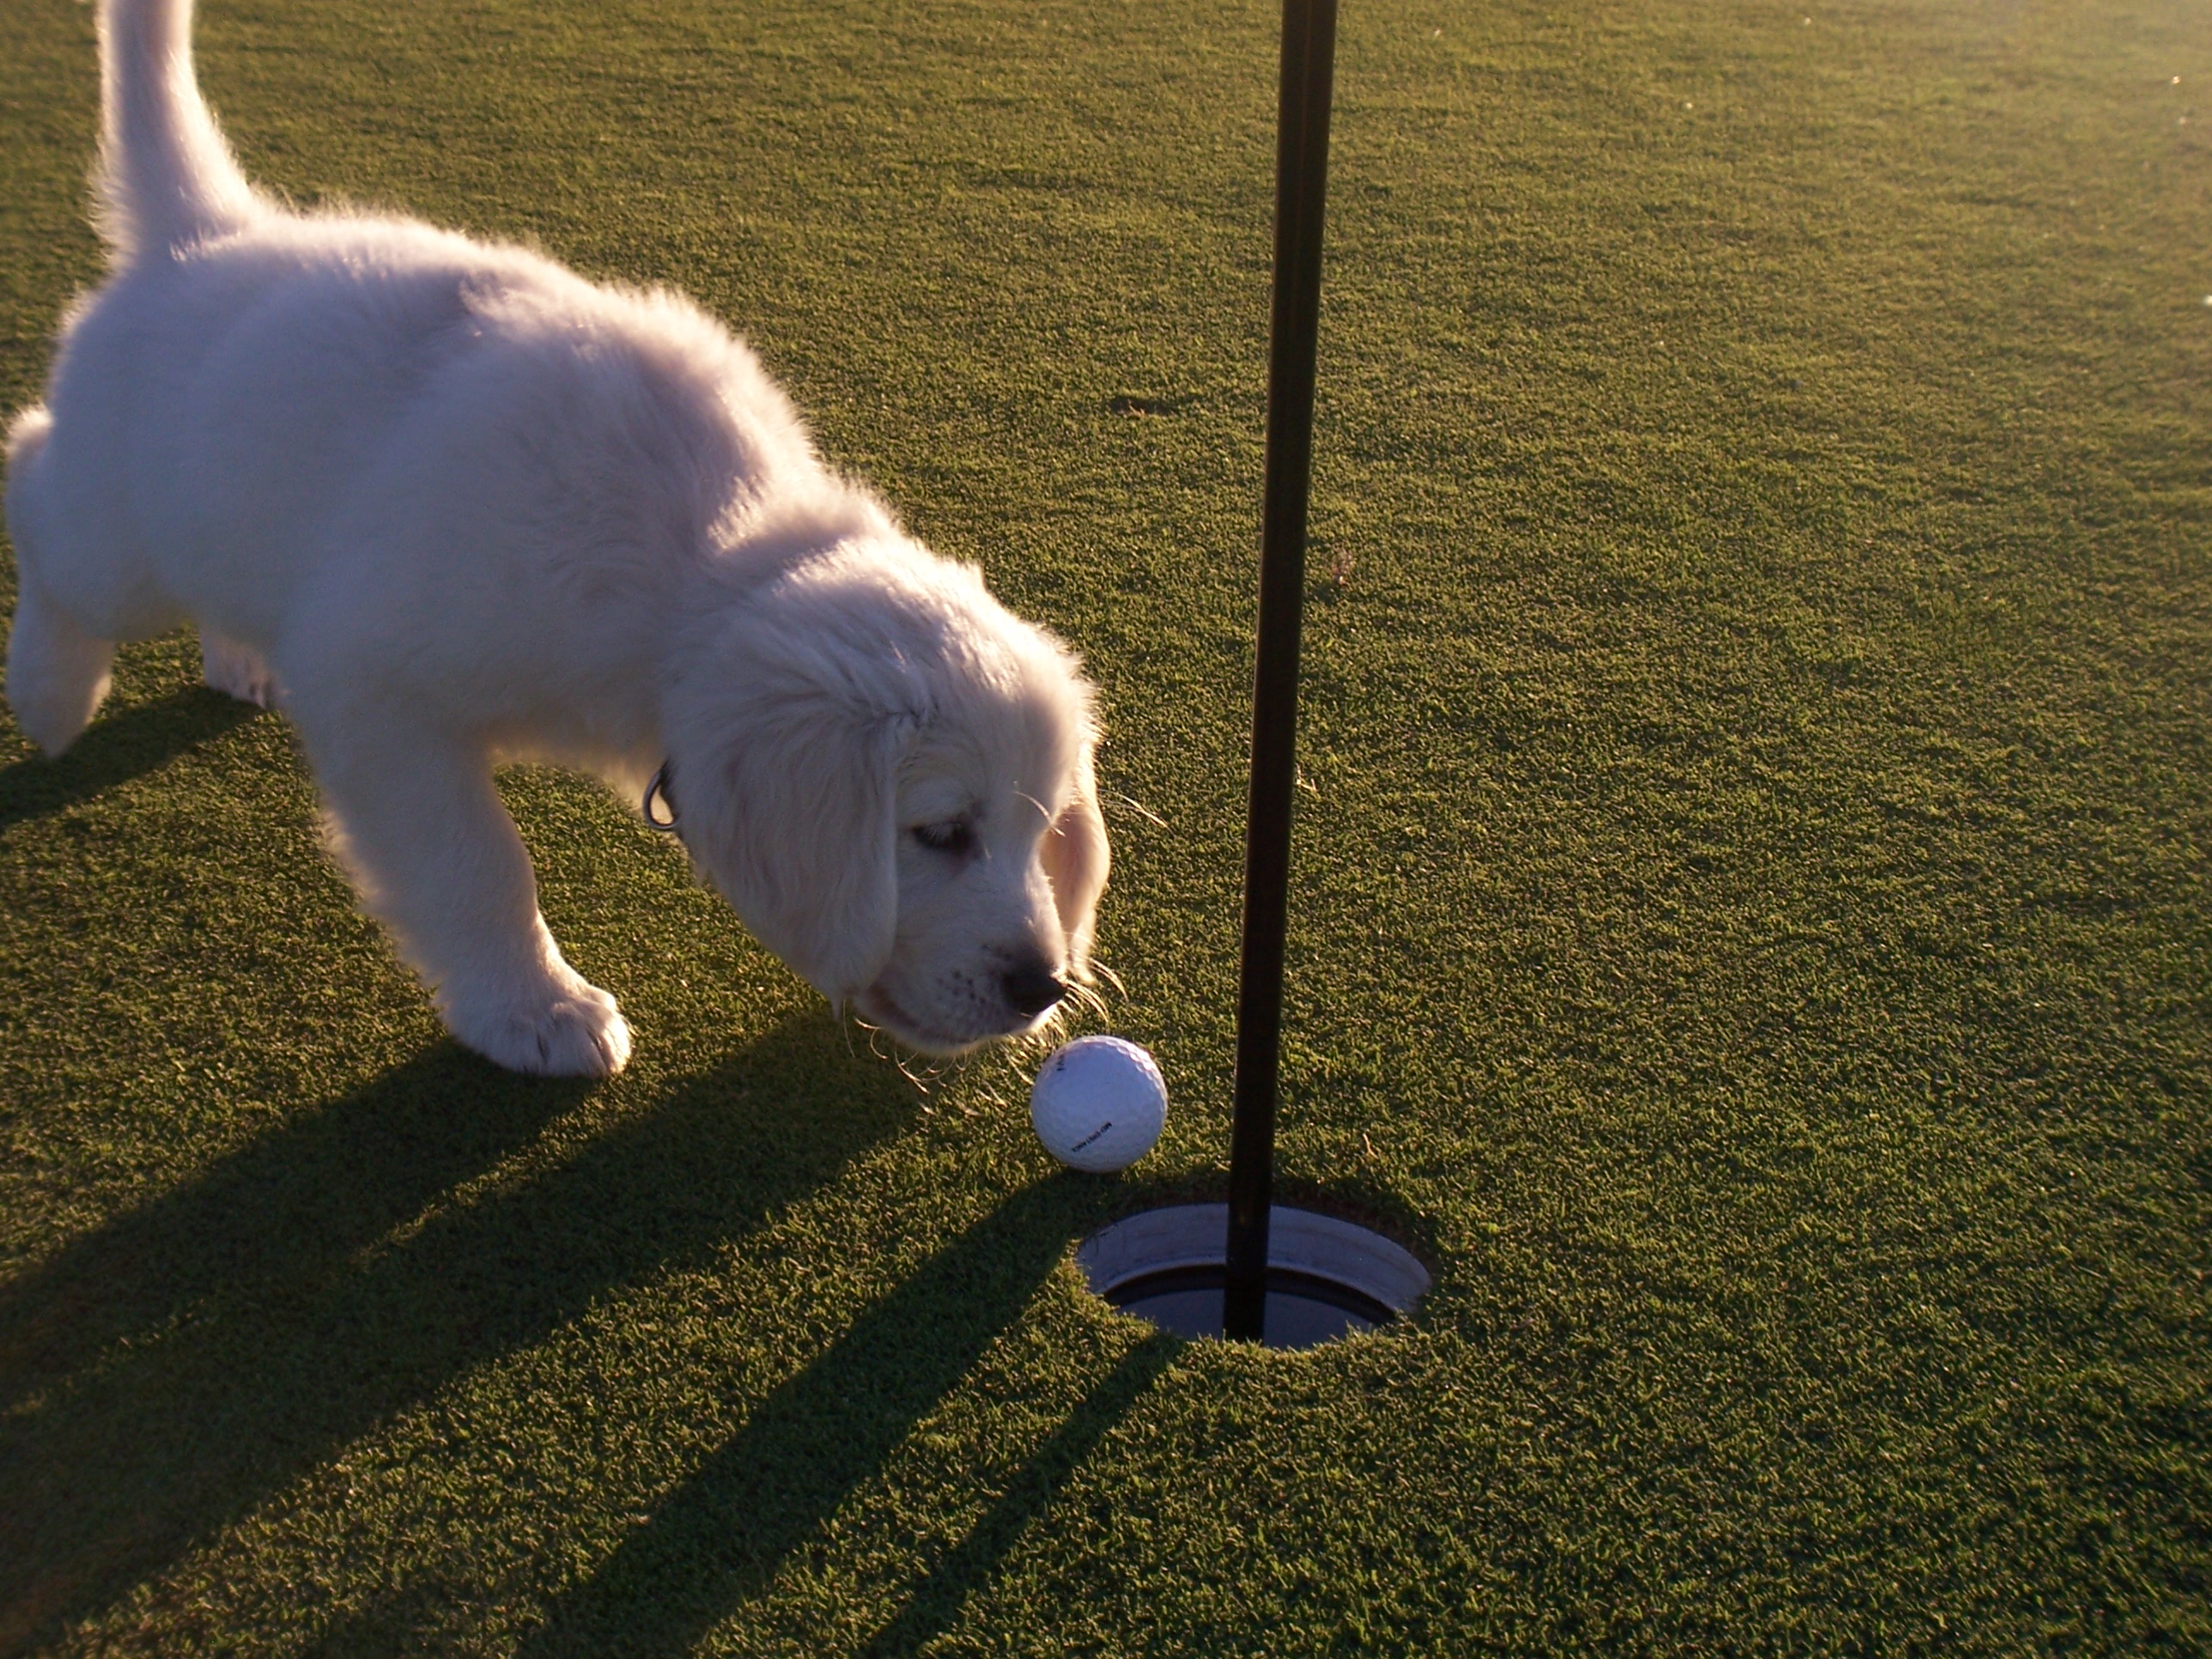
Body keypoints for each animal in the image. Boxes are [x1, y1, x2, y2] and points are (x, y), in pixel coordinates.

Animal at [4, 0, 1109, 1076]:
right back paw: (50, 692)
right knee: (34, 475)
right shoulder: (377, 691)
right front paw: (535, 1009)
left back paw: (236, 653)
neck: (693, 569)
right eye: (940, 832)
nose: (1041, 986)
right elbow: (477, 865)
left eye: (1042, 827)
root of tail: (201, 237)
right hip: (117, 542)